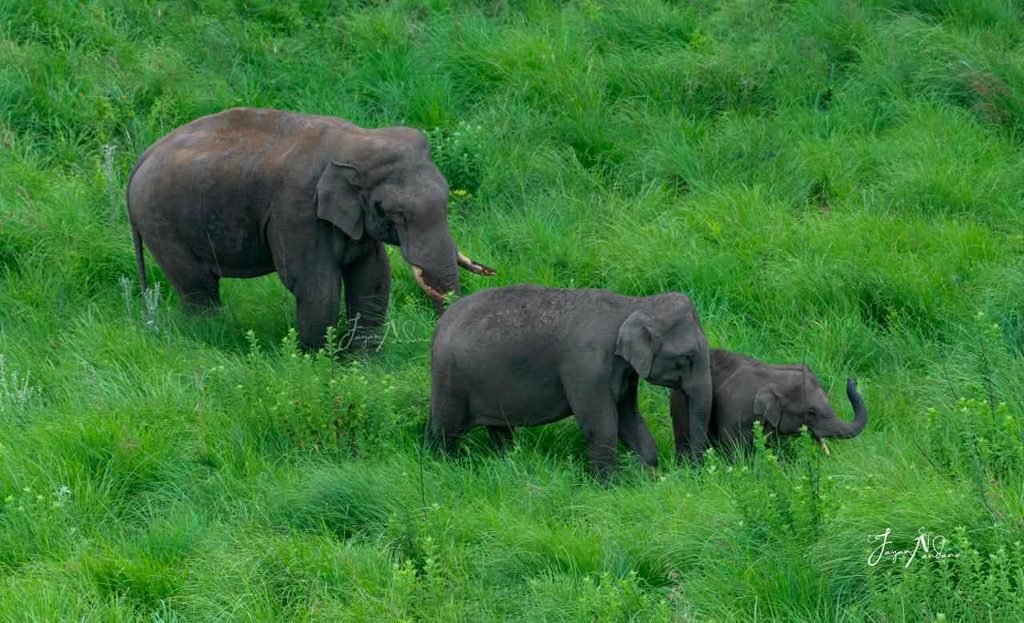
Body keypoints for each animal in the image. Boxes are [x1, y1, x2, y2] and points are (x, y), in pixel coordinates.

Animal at [127, 107, 495, 351]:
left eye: (446, 201)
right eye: (395, 213)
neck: (357, 141)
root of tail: (141, 157)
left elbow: (372, 276)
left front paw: (361, 363)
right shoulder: (296, 211)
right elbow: (315, 284)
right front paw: (317, 364)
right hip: (162, 223)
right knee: (198, 286)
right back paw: (210, 337)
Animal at [428, 285, 713, 480]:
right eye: (688, 357)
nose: (690, 470)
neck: (633, 303)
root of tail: (439, 325)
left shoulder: (625, 372)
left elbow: (629, 418)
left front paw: (648, 474)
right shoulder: (585, 368)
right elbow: (601, 423)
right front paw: (611, 487)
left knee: (499, 429)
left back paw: (506, 461)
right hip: (450, 380)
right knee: (444, 430)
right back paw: (440, 466)